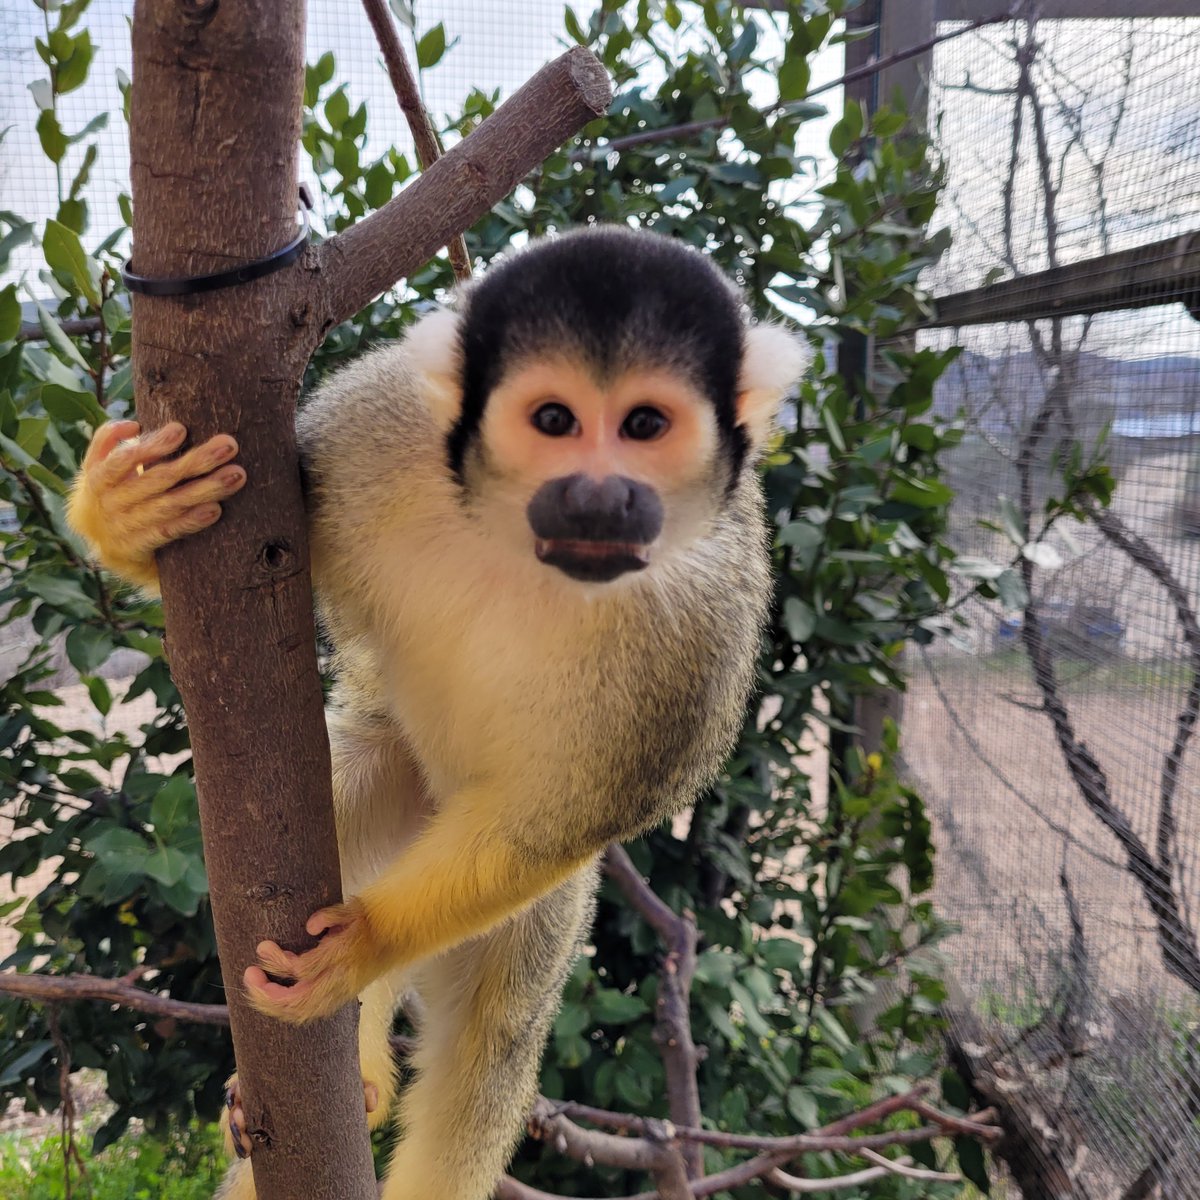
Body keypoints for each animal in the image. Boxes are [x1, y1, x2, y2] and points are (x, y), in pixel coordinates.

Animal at [67, 225, 806, 1200]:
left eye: (647, 426)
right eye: (553, 421)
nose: (598, 497)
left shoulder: (704, 634)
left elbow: (564, 820)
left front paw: (367, 945)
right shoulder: (378, 431)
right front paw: (131, 513)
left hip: (534, 917)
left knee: (490, 1052)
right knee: (360, 775)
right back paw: (354, 1068)